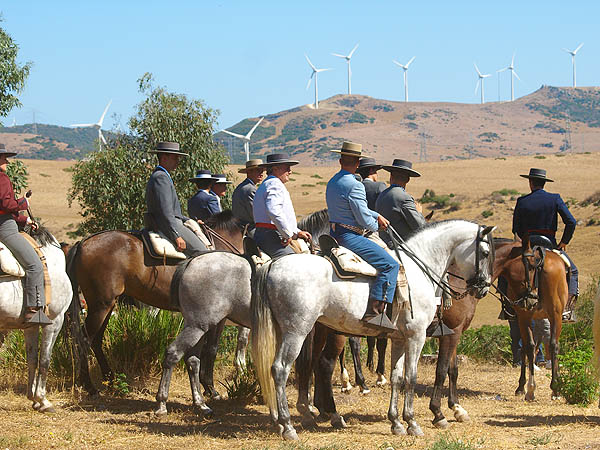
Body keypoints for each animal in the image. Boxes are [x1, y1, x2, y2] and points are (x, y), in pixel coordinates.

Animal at [0, 229, 72, 412]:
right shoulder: (54, 321)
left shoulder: (30, 326)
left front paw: (32, 397)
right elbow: (45, 359)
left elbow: (32, 359)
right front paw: (43, 400)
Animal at [69, 208, 247, 400]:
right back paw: (89, 386)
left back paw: (112, 381)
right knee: (84, 340)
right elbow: (211, 349)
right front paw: (211, 388)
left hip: (106, 305)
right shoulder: (217, 318)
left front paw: (204, 387)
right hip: (100, 305)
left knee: (96, 340)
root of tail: (83, 243)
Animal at [251, 219, 494, 440]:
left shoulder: (400, 338)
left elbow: (397, 377)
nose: (483, 287)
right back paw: (289, 426)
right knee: (282, 369)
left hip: (286, 331)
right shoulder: (417, 336)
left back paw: (293, 419)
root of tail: (273, 265)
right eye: (485, 252)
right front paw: (415, 422)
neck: (419, 270)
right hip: (297, 331)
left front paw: (396, 422)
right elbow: (413, 377)